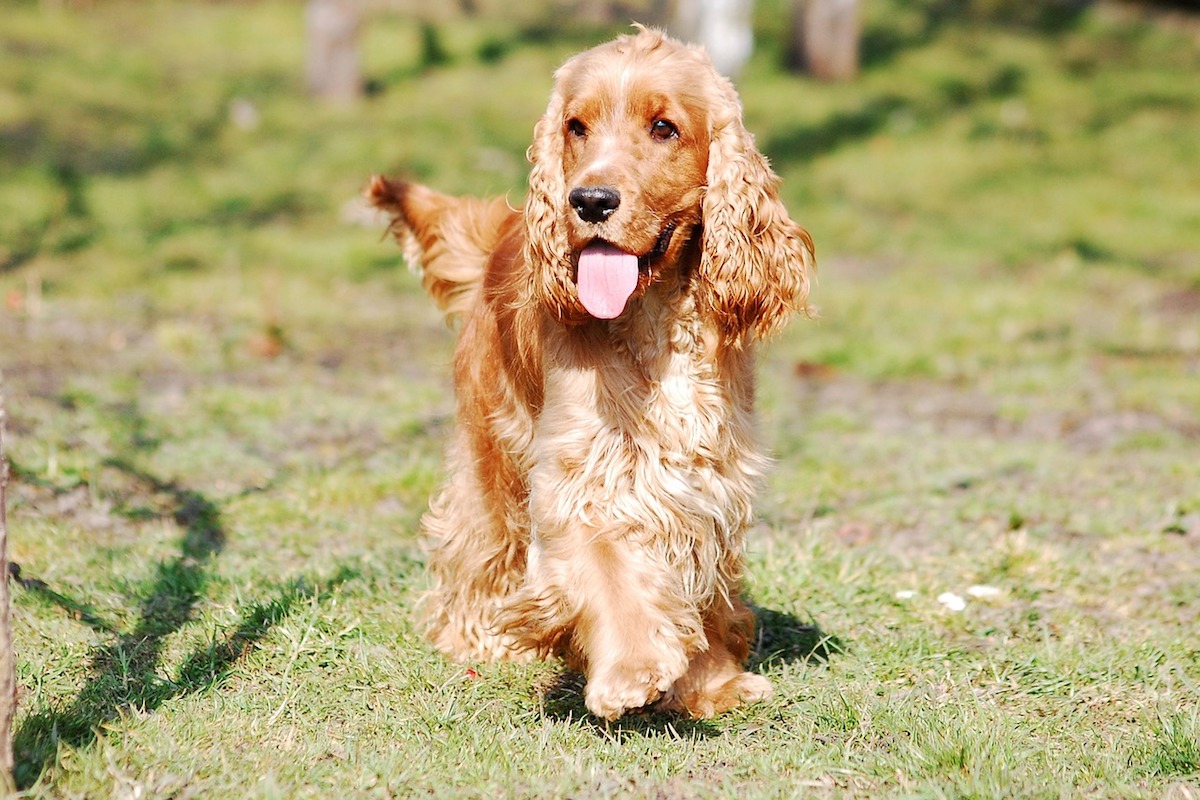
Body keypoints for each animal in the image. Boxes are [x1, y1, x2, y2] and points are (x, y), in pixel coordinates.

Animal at [367, 28, 816, 724]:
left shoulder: (707, 478)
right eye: (576, 126)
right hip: (494, 442)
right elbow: (607, 565)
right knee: (476, 537)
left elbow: (697, 578)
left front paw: (711, 682)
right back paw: (478, 636)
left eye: (664, 127)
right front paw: (631, 670)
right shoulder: (581, 475)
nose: (589, 200)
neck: (654, 320)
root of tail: (507, 226)